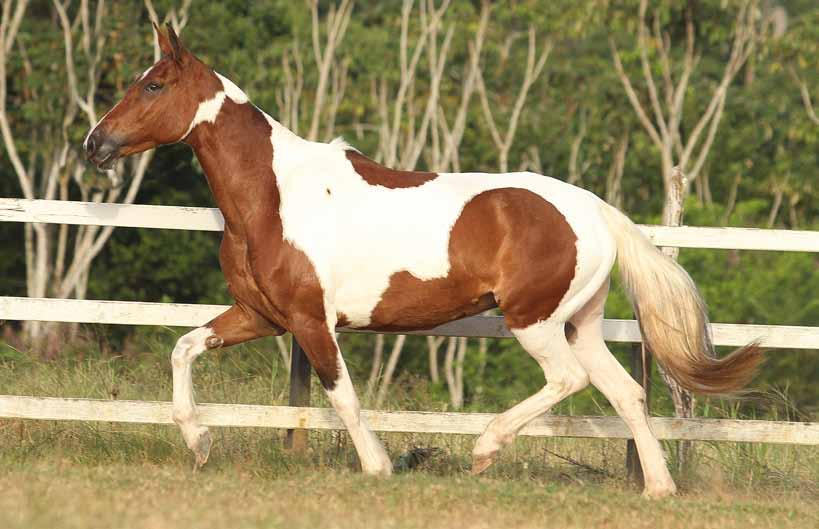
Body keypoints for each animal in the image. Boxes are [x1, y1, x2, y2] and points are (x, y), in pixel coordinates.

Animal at [85, 23, 764, 496]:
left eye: (152, 84)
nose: (95, 143)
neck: (274, 194)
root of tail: (594, 210)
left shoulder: (310, 321)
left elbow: (343, 397)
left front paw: (379, 467)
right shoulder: (260, 315)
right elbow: (183, 348)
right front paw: (199, 442)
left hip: (535, 321)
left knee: (568, 380)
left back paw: (486, 449)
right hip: (581, 322)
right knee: (626, 392)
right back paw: (658, 488)